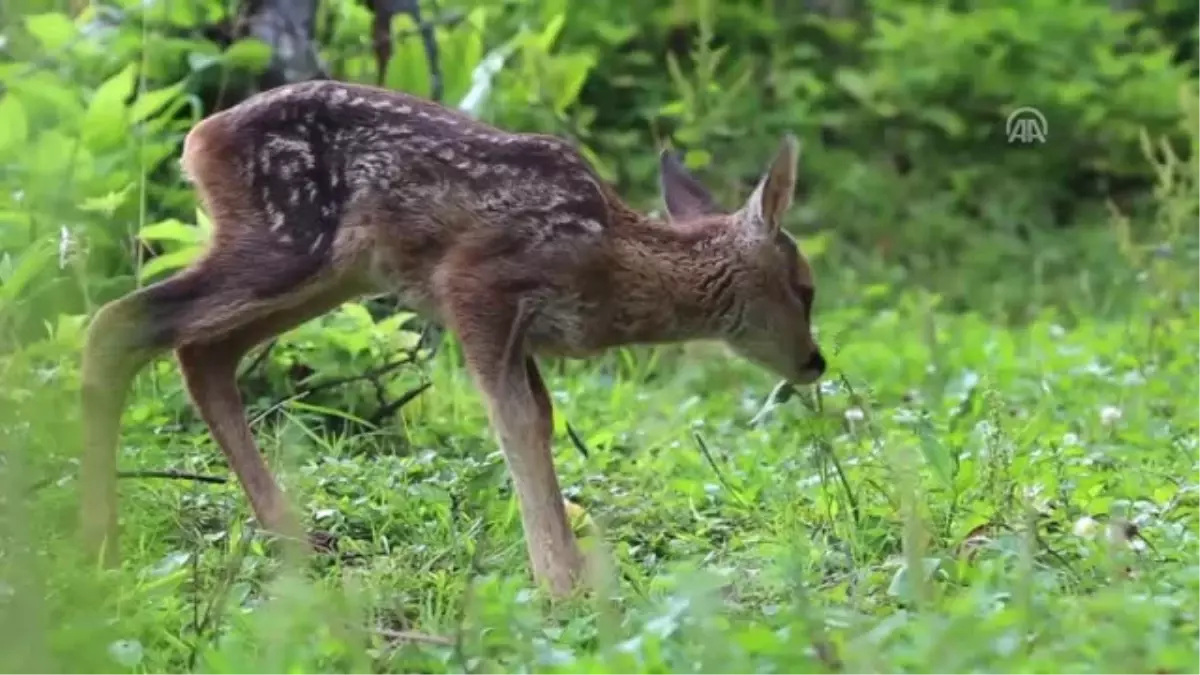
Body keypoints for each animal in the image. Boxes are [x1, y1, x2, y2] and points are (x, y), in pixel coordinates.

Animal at [77, 77, 825, 593]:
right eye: (805, 287)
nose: (816, 361)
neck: (615, 267)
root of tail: (198, 138)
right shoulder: (475, 282)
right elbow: (516, 423)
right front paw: (562, 583)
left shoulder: (523, 331)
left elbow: (540, 420)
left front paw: (572, 569)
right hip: (289, 238)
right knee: (122, 322)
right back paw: (101, 544)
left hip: (332, 272)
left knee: (202, 350)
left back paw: (297, 539)